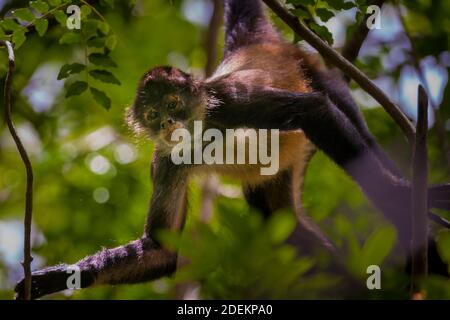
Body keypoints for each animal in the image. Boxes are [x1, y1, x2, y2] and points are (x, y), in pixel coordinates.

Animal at [14, 0, 450, 300]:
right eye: (153, 114)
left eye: (174, 104)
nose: (168, 124)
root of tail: (251, 46)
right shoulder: (167, 160)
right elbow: (162, 250)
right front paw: (59, 277)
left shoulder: (229, 100)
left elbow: (312, 110)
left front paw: (400, 196)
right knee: (279, 222)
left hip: (316, 72)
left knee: (349, 130)